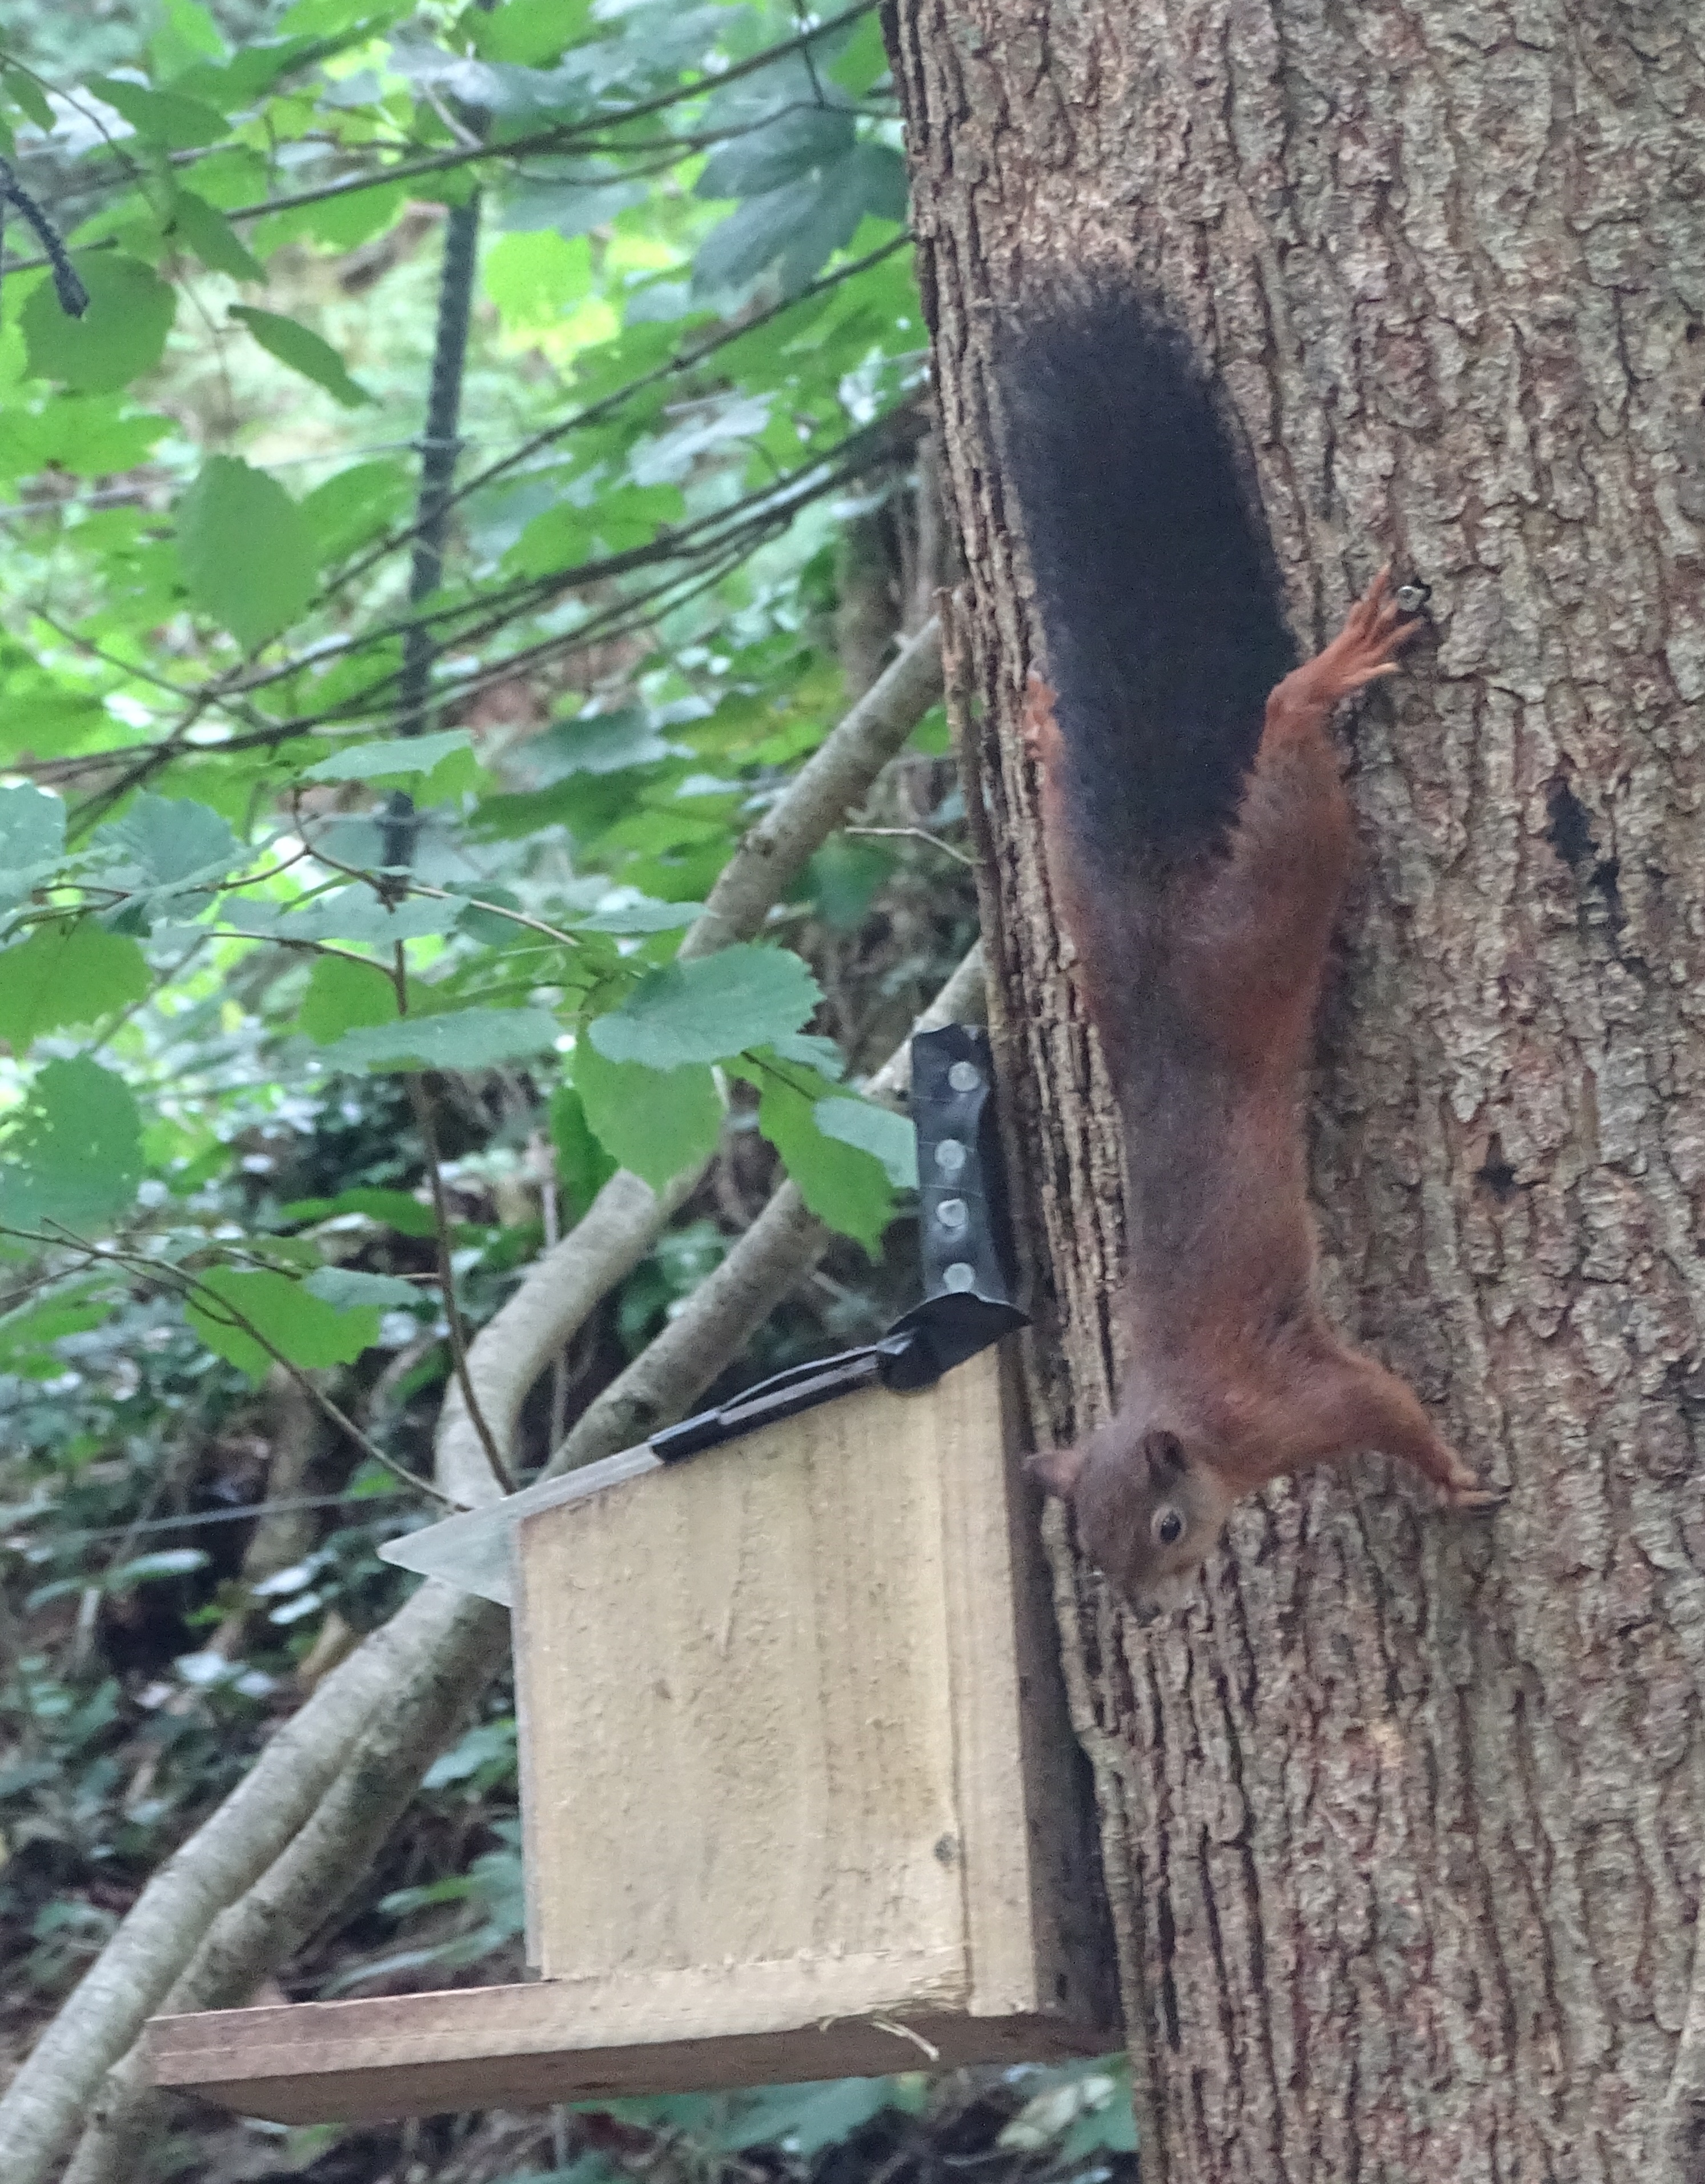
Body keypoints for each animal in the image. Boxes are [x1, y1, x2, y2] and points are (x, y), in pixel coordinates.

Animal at [993, 288, 1497, 1608]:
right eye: (1094, 1546)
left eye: (1165, 1526)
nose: (1154, 1603)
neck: (1200, 1427)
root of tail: (1158, 943)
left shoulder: (1295, 1399)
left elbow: (1384, 1405)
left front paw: (1452, 1477)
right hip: (1093, 902)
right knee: (1069, 824)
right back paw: (1046, 731)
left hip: (1266, 910)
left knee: (1283, 740)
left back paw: (1323, 674)